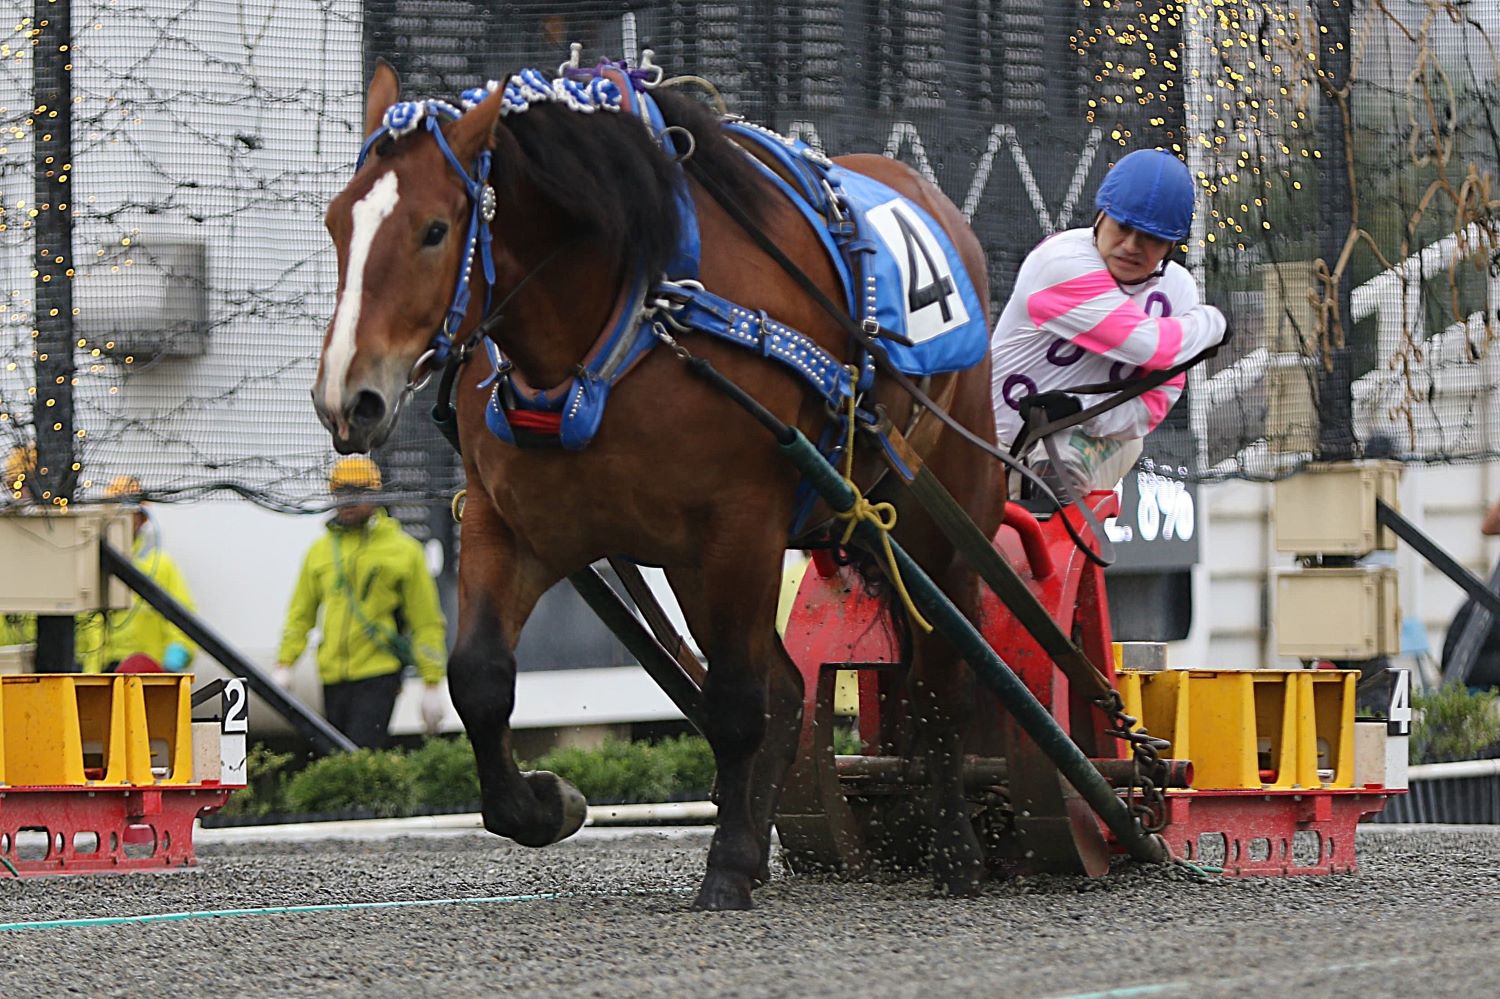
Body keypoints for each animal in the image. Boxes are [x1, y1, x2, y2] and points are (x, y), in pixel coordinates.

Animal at [312, 58, 1002, 906]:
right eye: (337, 223)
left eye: (435, 229)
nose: (347, 397)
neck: (617, 328)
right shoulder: (509, 524)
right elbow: (479, 678)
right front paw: (544, 802)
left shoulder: (744, 520)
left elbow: (736, 702)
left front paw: (726, 865)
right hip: (693, 562)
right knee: (787, 685)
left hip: (941, 511)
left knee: (941, 674)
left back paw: (954, 847)